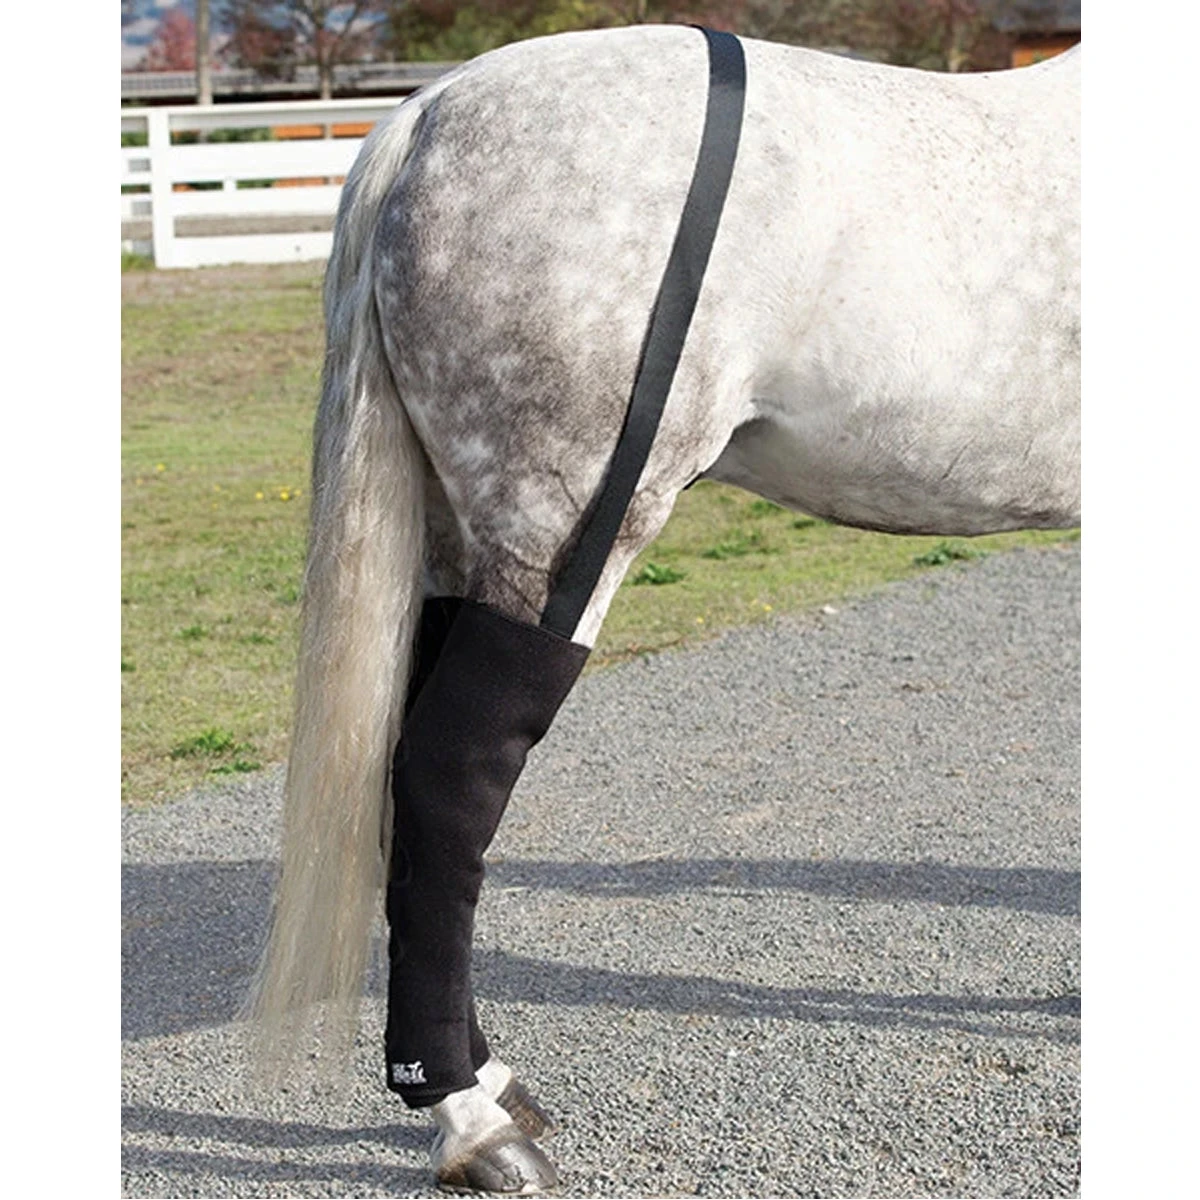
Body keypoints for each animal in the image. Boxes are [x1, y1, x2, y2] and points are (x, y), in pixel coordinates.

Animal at [243, 23, 1080, 1194]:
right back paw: (469, 1117)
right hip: (567, 528)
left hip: (463, 536)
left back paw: (489, 1082)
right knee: (452, 779)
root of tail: (429, 114)